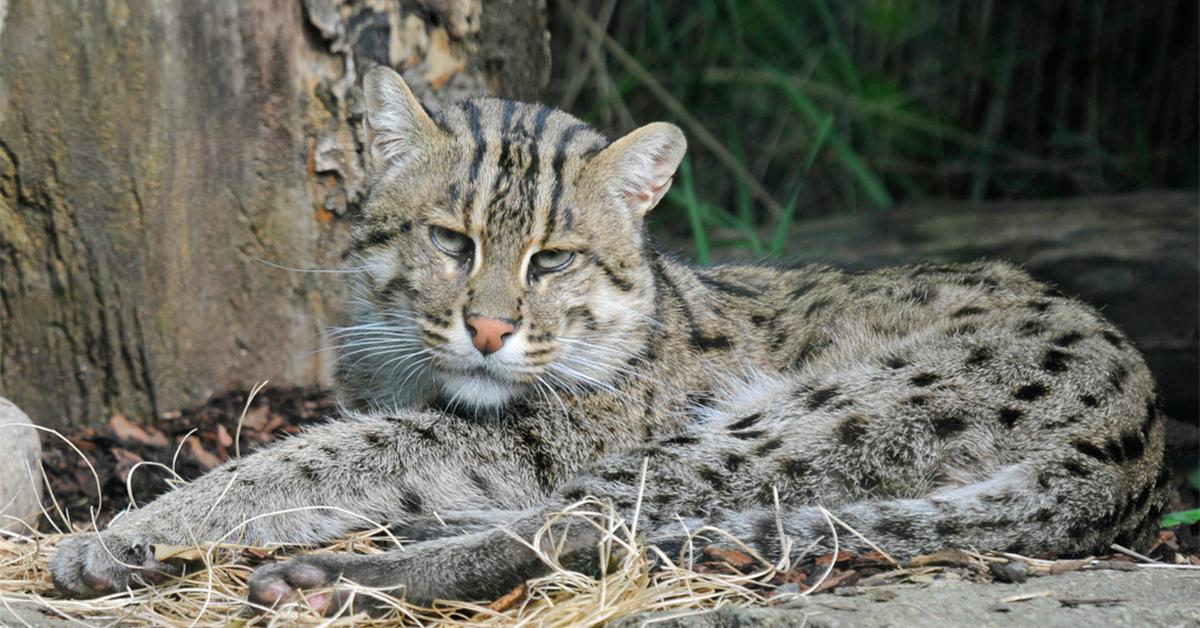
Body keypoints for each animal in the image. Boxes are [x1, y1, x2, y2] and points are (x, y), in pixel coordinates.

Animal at [51, 66, 1166, 612]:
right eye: (450, 241)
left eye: (552, 261)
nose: (489, 327)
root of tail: (1138, 443)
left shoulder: (519, 439)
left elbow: (310, 457)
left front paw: (133, 529)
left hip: (794, 421)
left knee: (594, 528)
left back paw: (346, 575)